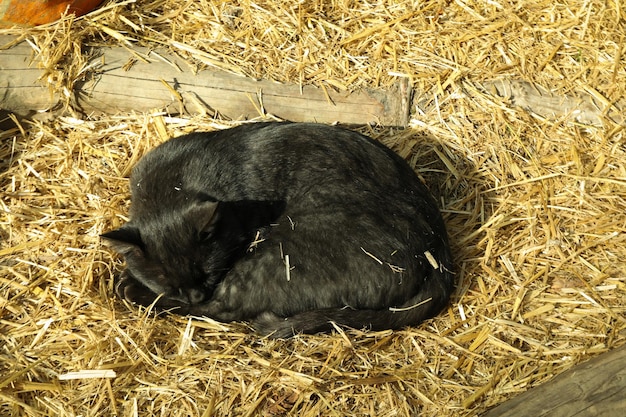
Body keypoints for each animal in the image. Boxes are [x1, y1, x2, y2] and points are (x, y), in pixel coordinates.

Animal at [102, 122, 454, 336]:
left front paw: (133, 284)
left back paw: (132, 290)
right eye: (168, 281)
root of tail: (437, 256)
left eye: (207, 272)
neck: (169, 187)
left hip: (275, 256)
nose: (196, 291)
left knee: (223, 309)